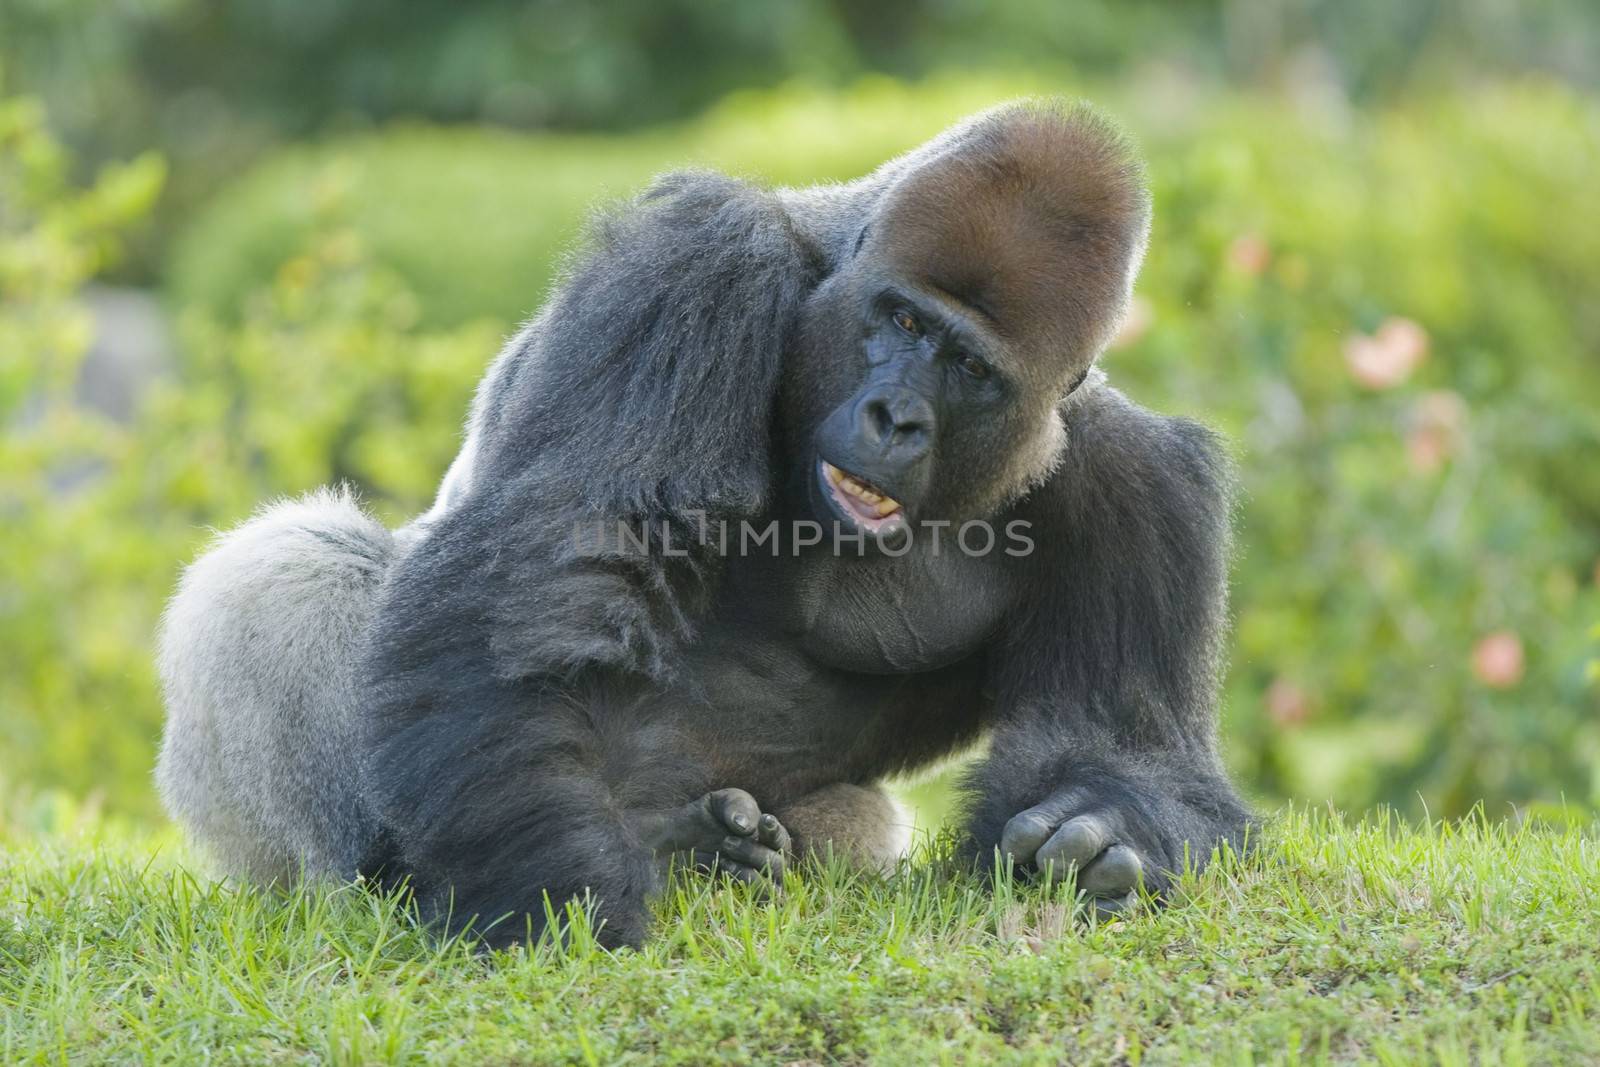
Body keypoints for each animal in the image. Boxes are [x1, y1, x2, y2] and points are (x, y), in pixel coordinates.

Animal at [156, 102, 1248, 953]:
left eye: (971, 368)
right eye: (901, 321)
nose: (895, 417)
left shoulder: (1136, 476)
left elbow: (1121, 742)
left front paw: (1108, 824)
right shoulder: (698, 258)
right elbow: (538, 593)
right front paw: (558, 892)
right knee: (288, 570)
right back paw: (398, 868)